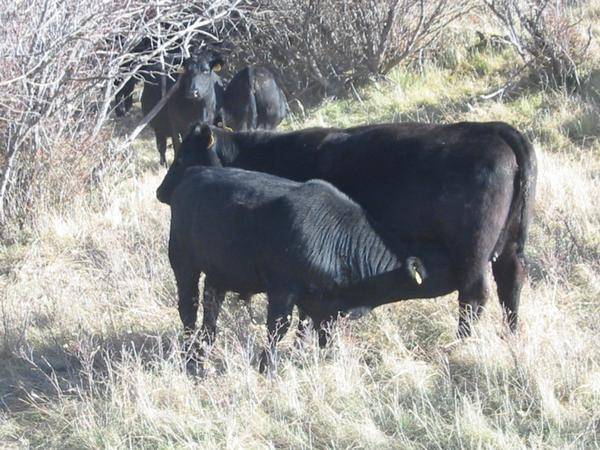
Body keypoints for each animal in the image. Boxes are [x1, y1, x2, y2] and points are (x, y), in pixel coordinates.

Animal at [157, 121, 536, 340]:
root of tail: (498, 130)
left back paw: (463, 342)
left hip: (472, 252)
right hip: (510, 246)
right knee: (511, 283)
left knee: (474, 297)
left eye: (183, 158)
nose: (162, 192)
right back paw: (511, 336)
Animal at [157, 162, 452, 370]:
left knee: (211, 309)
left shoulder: (321, 305)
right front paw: (267, 367)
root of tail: (194, 172)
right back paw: (191, 357)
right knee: (188, 307)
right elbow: (279, 328)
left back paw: (204, 346)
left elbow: (315, 331)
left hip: (219, 272)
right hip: (182, 262)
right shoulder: (283, 289)